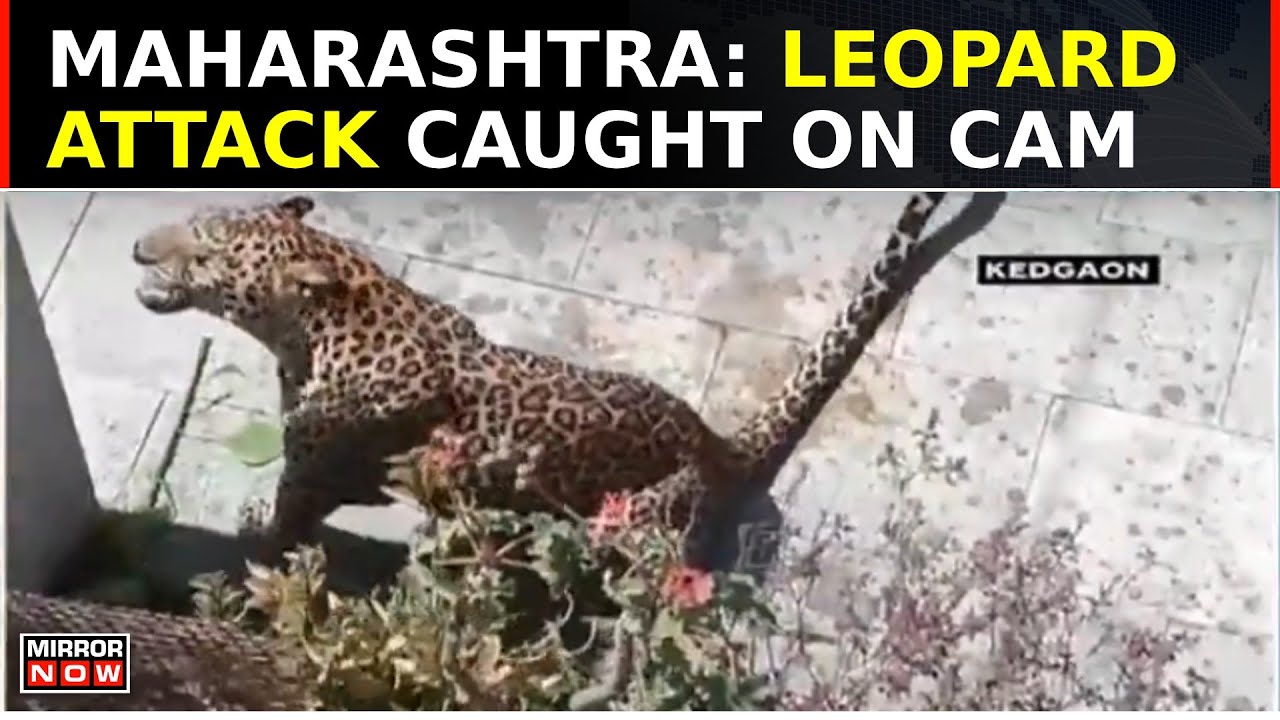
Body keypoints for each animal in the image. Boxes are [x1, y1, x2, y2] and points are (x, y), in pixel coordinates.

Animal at [130, 191, 970, 571]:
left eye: (205, 252)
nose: (140, 248)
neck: (315, 329)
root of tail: (716, 443)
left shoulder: (312, 471)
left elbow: (284, 524)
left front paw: (253, 543)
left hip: (642, 526)